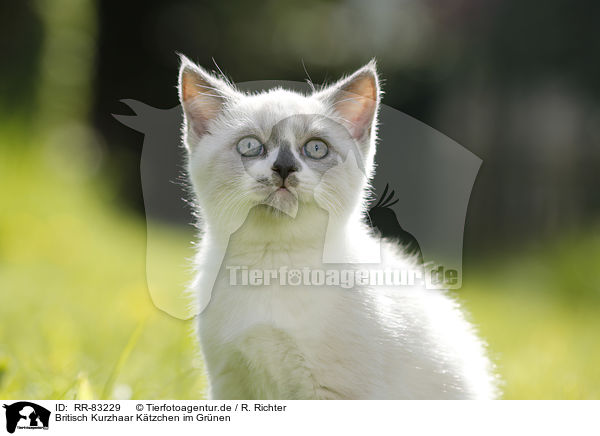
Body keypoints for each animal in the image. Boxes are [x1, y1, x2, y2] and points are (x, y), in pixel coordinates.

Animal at [178, 54, 496, 398]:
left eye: (316, 149)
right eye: (250, 146)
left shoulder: (334, 392)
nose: (284, 167)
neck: (273, 262)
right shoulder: (231, 383)